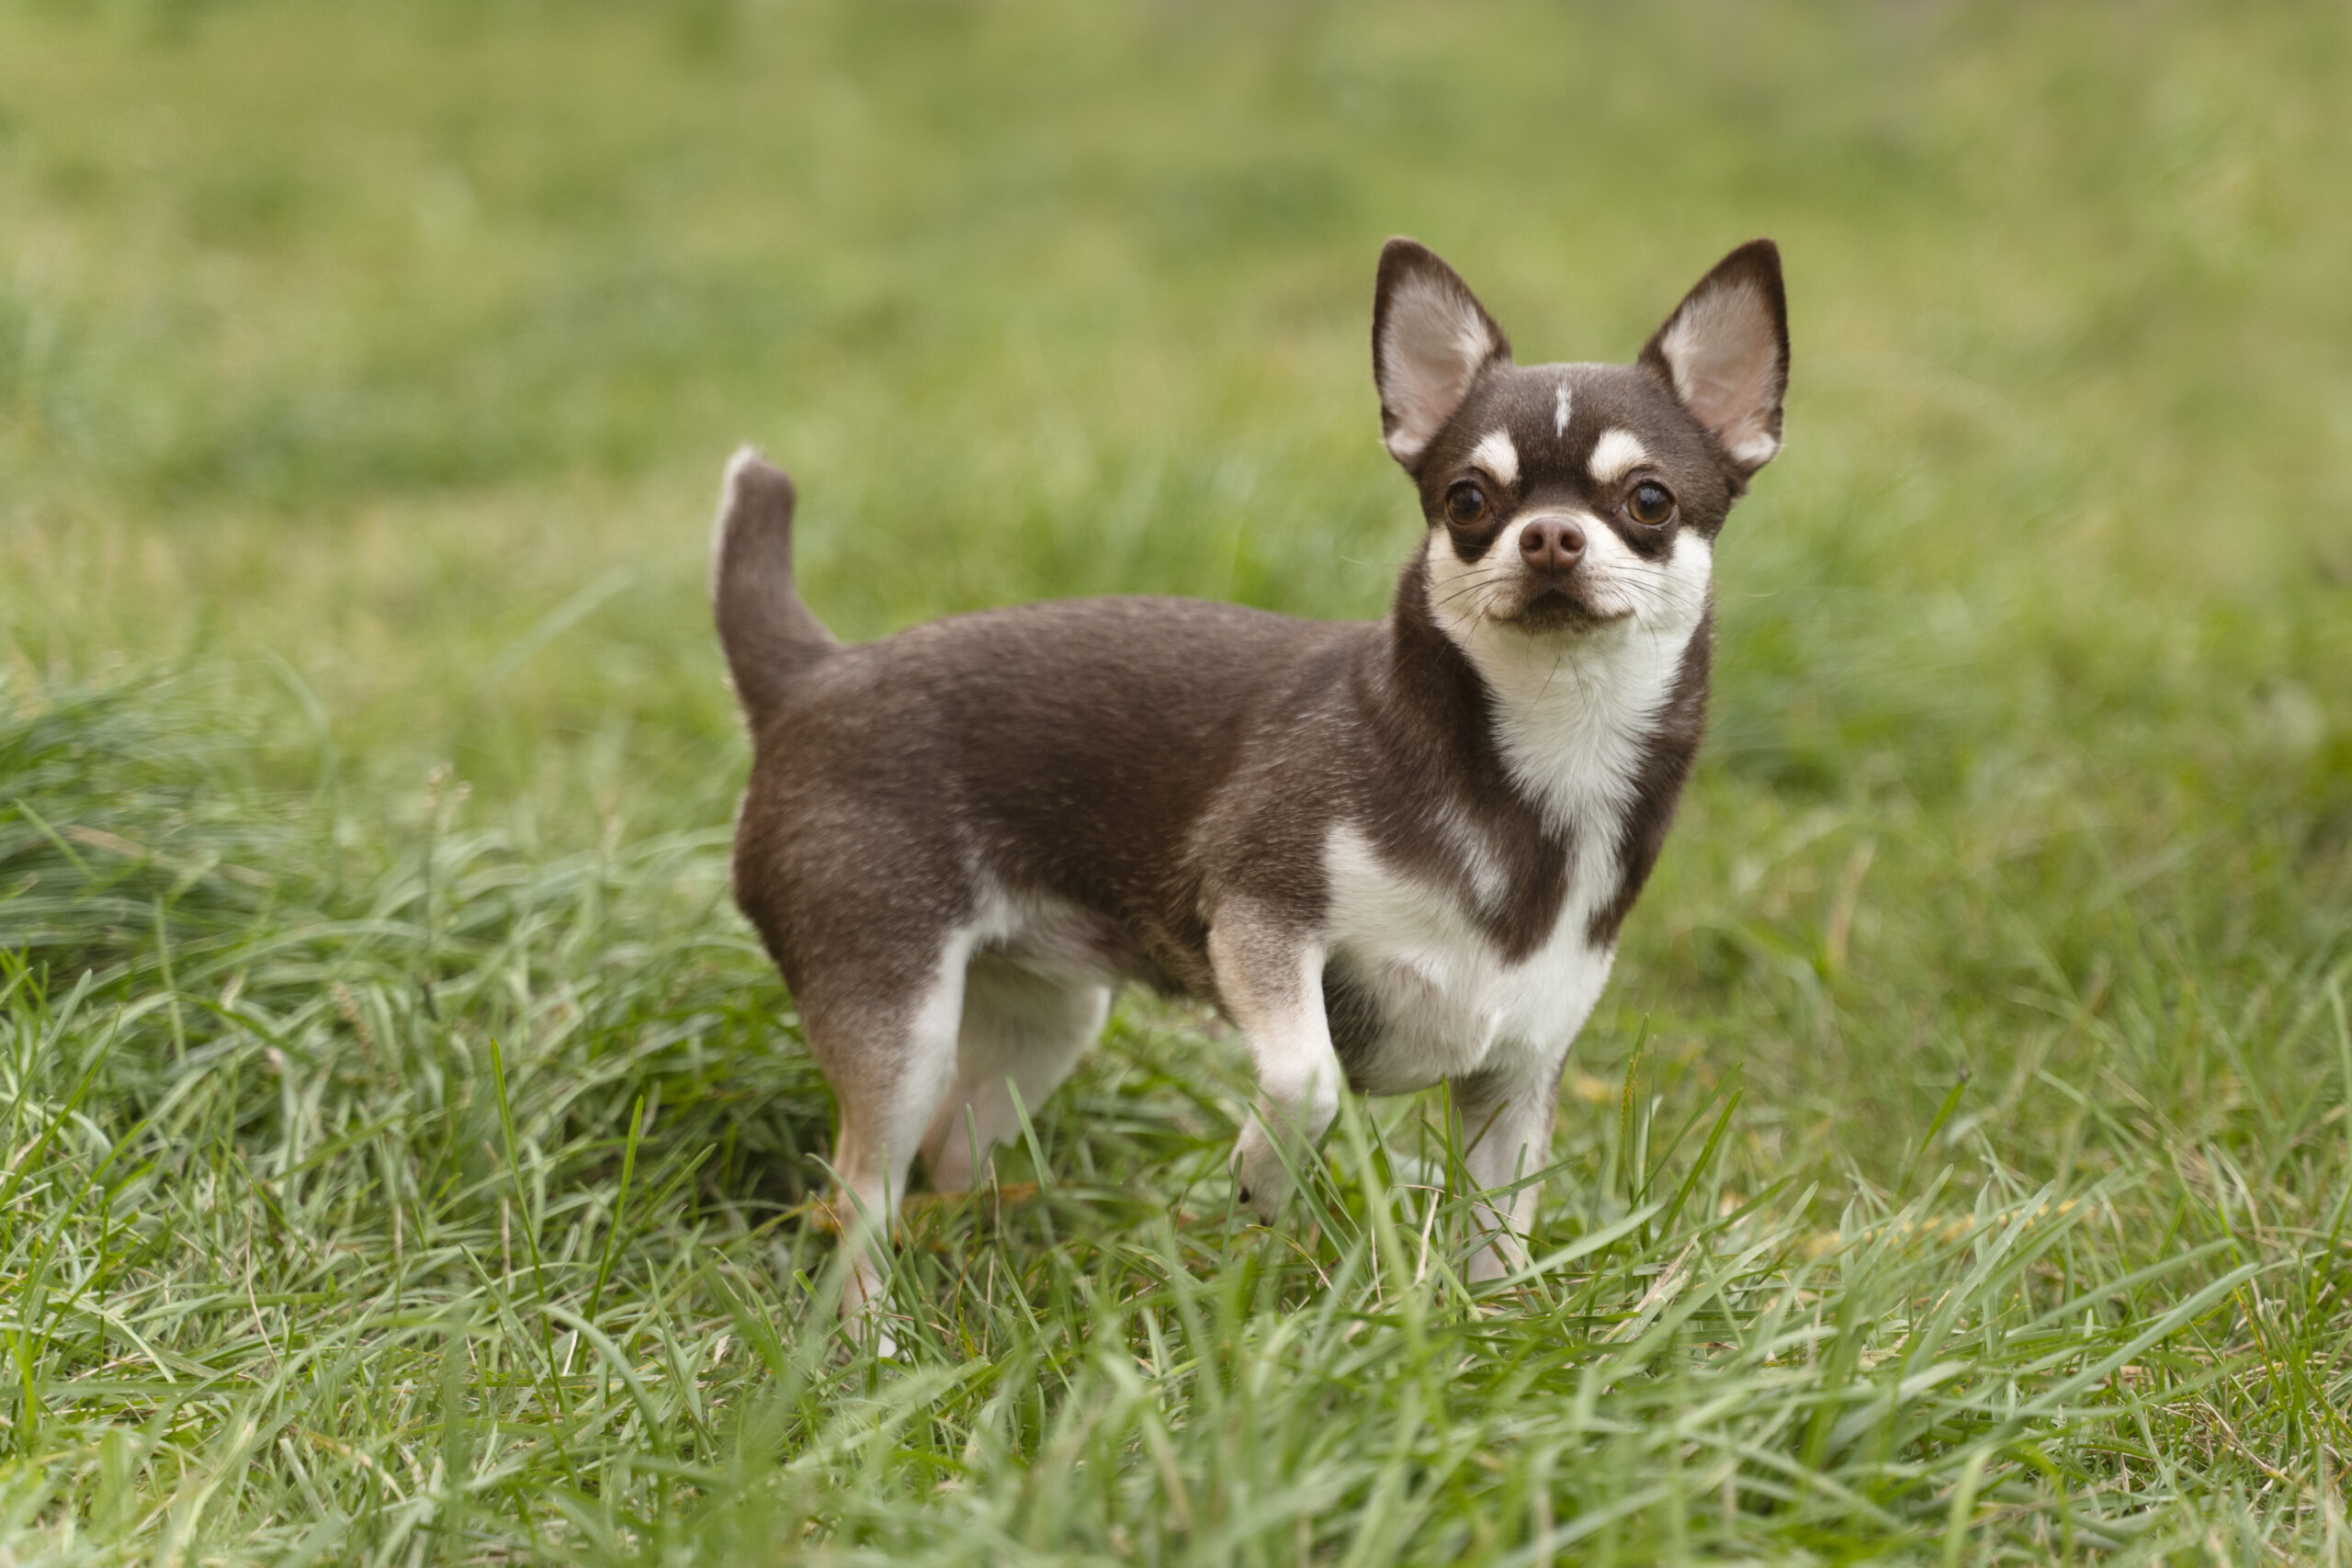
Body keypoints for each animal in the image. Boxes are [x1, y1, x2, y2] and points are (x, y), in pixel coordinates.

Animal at [710, 240, 1778, 1316]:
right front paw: (1264, 1176)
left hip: (1042, 1025)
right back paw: (871, 1339)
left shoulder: (1513, 1084)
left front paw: (1497, 1335)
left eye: (1649, 500)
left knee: (944, 1157)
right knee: (858, 1192)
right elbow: (1307, 1075)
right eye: (1469, 501)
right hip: (902, 1022)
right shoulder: (1260, 912)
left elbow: (1499, 1246)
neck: (1540, 764)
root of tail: (810, 677)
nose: (1549, 534)